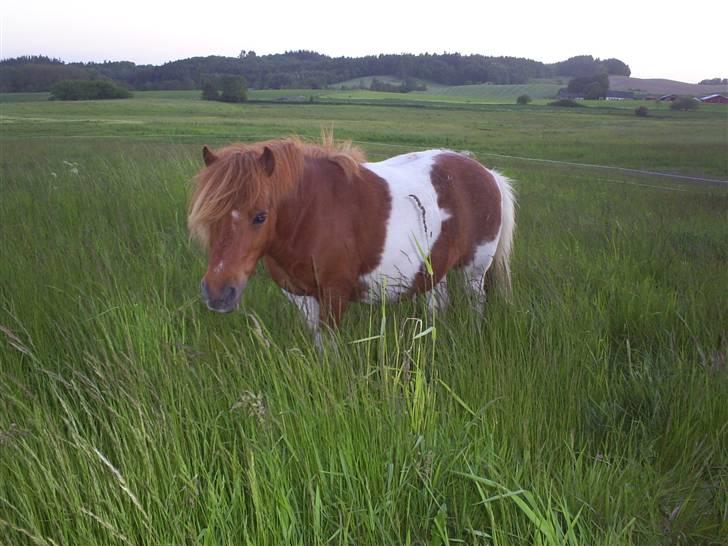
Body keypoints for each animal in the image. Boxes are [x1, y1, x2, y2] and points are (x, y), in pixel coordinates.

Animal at [189, 136, 516, 340]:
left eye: (260, 216)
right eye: (208, 215)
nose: (218, 293)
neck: (310, 213)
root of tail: (488, 173)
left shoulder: (334, 296)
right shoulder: (301, 298)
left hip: (475, 269)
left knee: (476, 302)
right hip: (435, 268)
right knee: (439, 303)